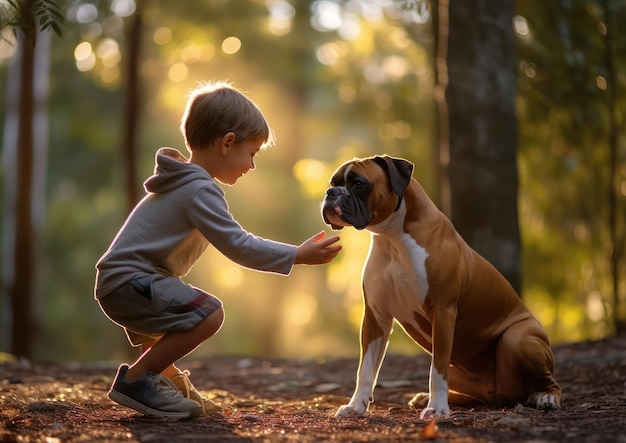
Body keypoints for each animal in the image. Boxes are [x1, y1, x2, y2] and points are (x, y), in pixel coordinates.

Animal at [322, 156, 560, 420]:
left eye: (358, 184)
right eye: (333, 183)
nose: (331, 192)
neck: (392, 238)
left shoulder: (442, 312)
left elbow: (436, 372)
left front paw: (436, 408)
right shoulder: (376, 318)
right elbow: (365, 370)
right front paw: (356, 405)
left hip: (519, 338)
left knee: (548, 382)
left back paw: (546, 397)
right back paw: (424, 398)